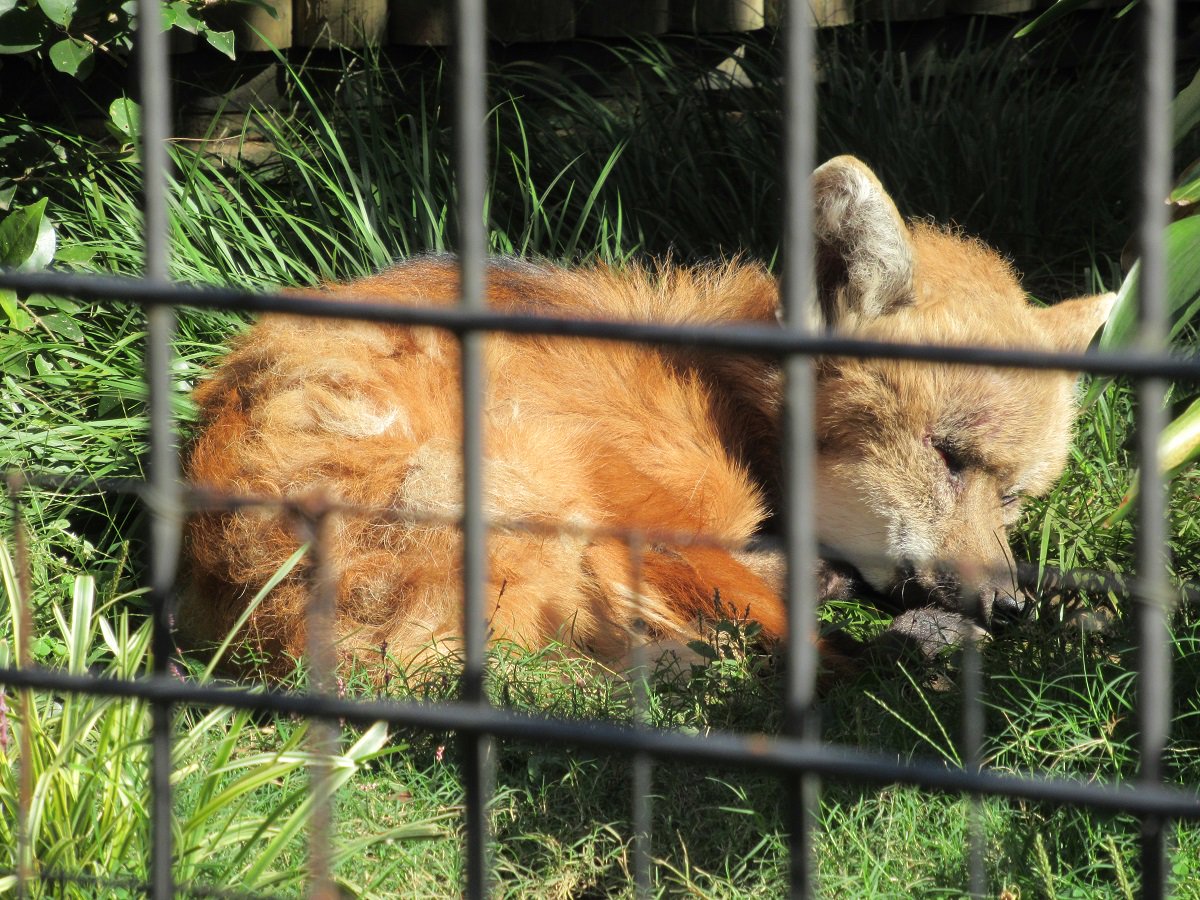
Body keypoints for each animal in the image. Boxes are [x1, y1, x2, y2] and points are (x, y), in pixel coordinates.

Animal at [182, 157, 1108, 676]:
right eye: (946, 458)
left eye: (1016, 496)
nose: (1003, 604)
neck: (725, 394)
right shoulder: (660, 521)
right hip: (519, 491)